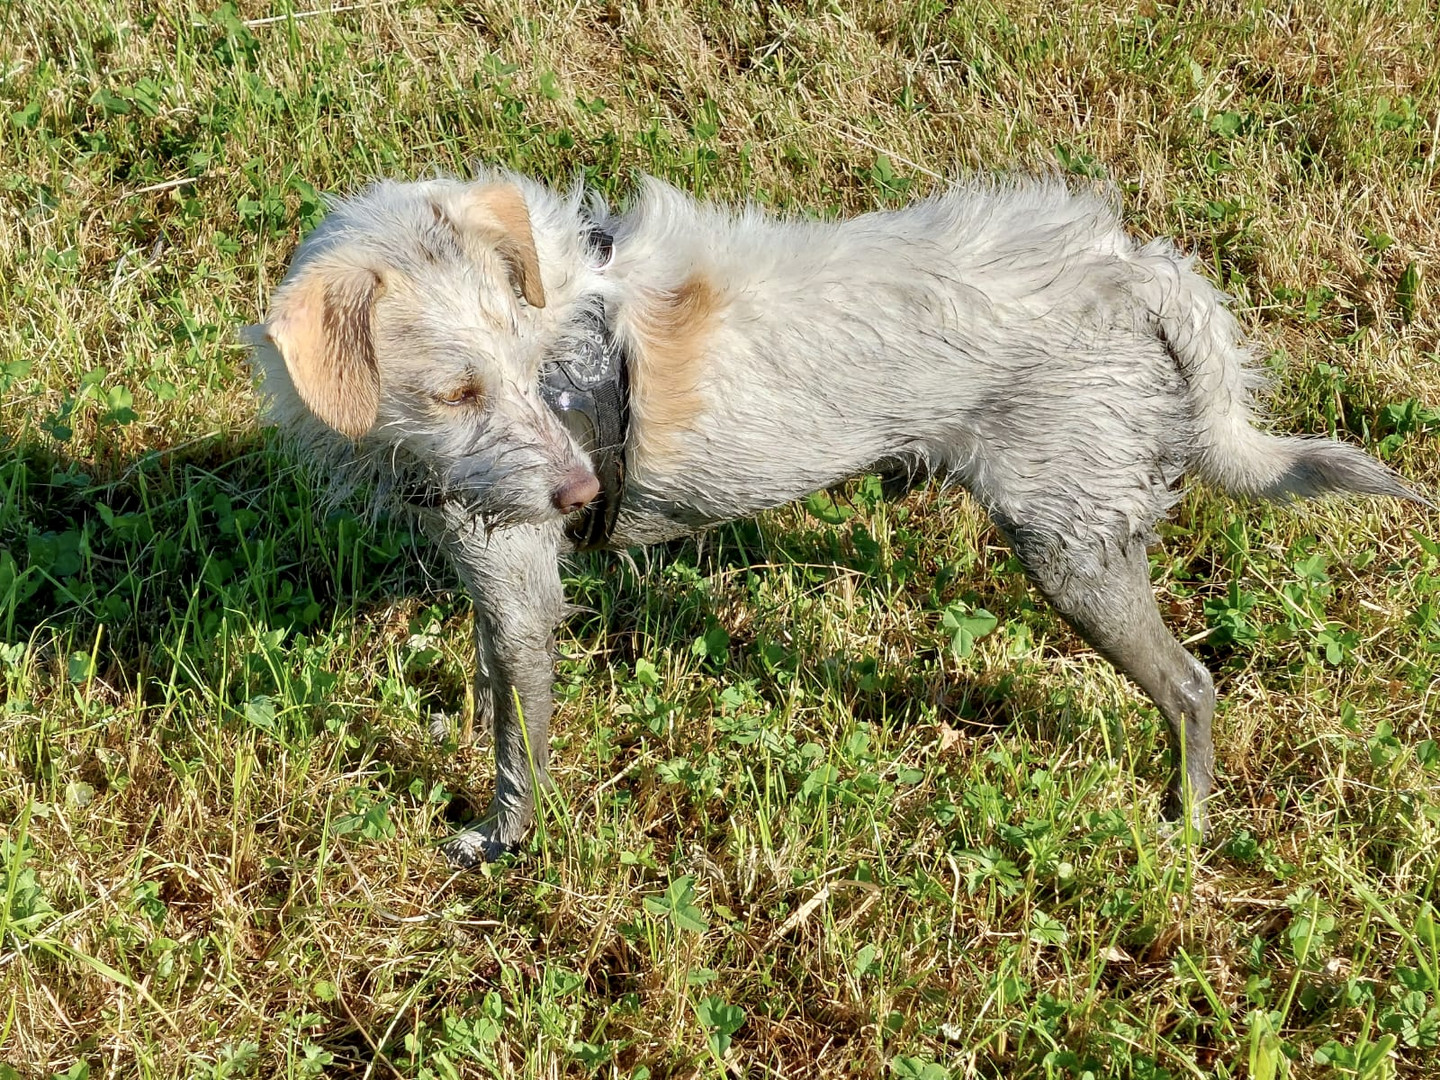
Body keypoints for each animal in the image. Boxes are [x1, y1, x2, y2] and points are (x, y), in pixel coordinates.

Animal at [247, 169, 1428, 869]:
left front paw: (502, 845)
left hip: (1070, 550)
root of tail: (1129, 266)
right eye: (456, 390)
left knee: (1191, 686)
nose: (580, 491)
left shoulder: (518, 590)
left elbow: (512, 741)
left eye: (532, 365)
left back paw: (1183, 831)